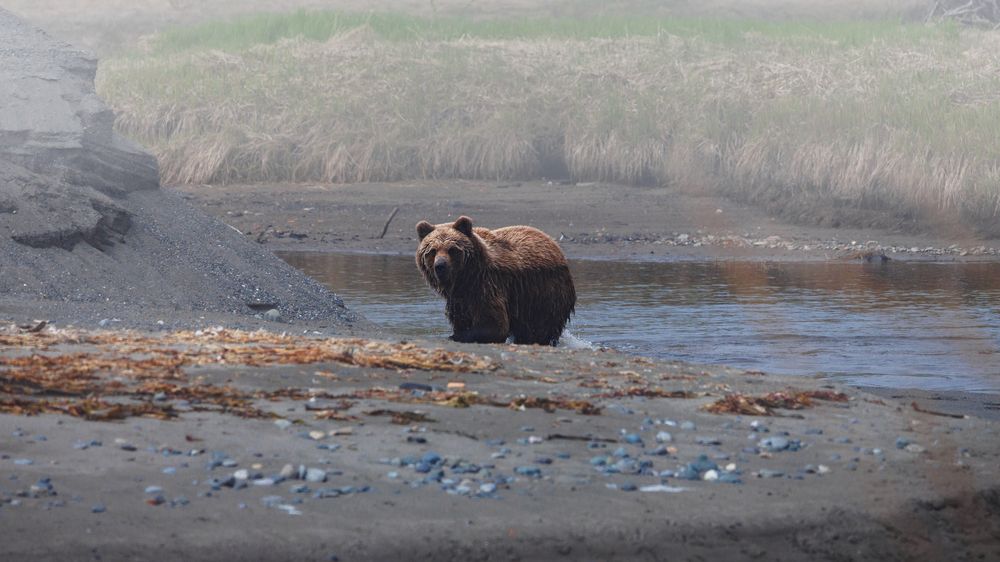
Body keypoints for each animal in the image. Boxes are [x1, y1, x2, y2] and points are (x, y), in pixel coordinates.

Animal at [415, 215, 575, 346]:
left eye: (452, 249)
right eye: (432, 251)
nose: (440, 266)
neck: (464, 277)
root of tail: (554, 243)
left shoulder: (487, 285)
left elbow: (494, 325)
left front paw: (455, 336)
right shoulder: (459, 299)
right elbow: (463, 320)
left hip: (544, 294)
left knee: (539, 328)